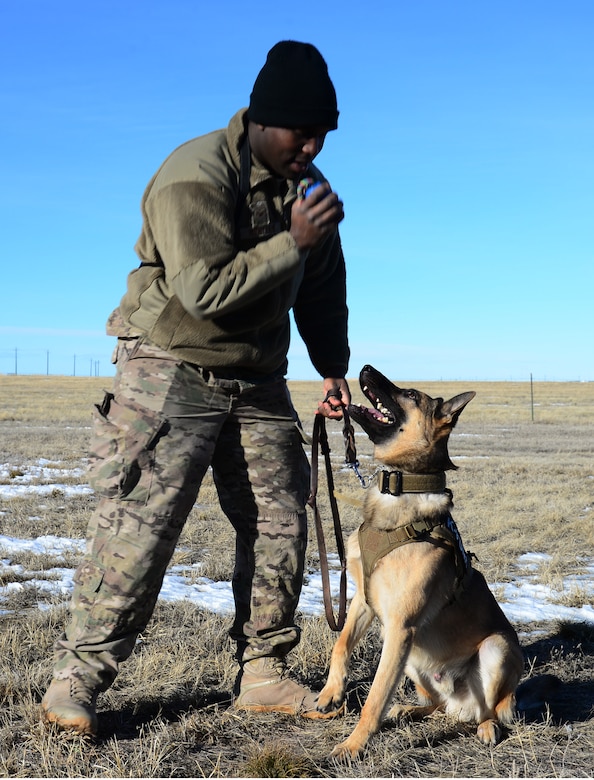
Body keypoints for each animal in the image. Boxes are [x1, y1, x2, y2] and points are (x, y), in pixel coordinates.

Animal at [316, 368, 520, 760]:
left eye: (410, 393)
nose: (364, 368)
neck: (399, 488)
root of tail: (460, 701)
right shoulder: (365, 602)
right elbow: (341, 645)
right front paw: (330, 693)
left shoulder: (400, 625)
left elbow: (376, 695)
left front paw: (353, 745)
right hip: (412, 657)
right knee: (436, 705)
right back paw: (408, 710)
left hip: (493, 649)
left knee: (486, 710)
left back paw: (487, 727)